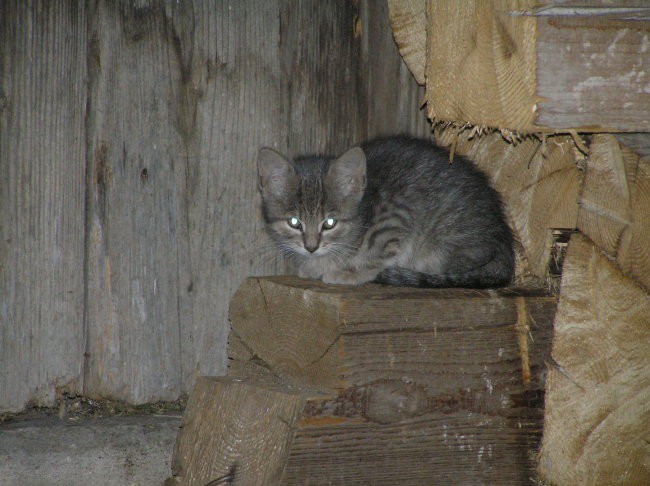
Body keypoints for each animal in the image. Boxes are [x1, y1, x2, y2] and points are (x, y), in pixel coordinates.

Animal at [256, 136, 512, 288]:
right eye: (294, 222)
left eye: (329, 223)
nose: (311, 247)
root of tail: (505, 243)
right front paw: (314, 264)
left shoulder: (398, 215)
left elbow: (377, 254)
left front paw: (348, 272)